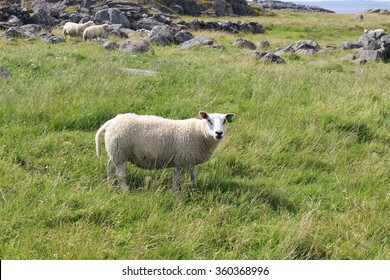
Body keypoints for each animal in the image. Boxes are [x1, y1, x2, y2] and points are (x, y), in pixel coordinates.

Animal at [96, 111, 236, 192]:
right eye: (209, 120)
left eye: (224, 121)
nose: (219, 133)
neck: (199, 132)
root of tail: (113, 120)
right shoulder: (180, 160)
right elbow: (177, 179)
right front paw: (174, 194)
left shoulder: (191, 159)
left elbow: (193, 175)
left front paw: (195, 188)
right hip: (121, 153)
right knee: (120, 174)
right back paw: (125, 191)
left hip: (115, 152)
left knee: (109, 167)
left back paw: (110, 185)